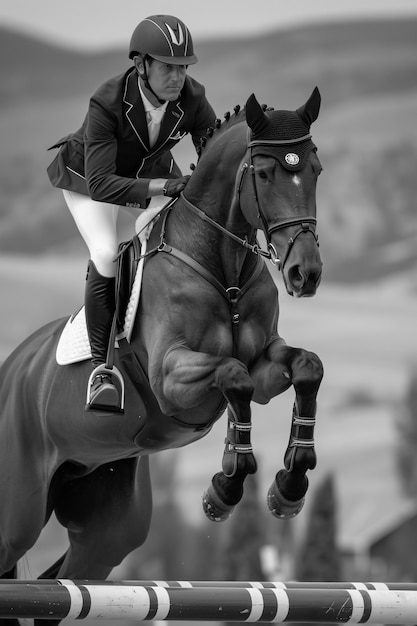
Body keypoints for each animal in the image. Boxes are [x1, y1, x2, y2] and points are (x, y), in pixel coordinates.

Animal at [0, 89, 322, 600]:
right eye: (265, 173)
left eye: (315, 169)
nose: (305, 274)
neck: (223, 269)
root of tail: (12, 371)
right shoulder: (171, 377)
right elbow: (234, 376)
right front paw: (223, 491)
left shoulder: (267, 362)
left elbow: (306, 367)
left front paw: (288, 487)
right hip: (18, 512)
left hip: (110, 521)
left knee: (71, 574)